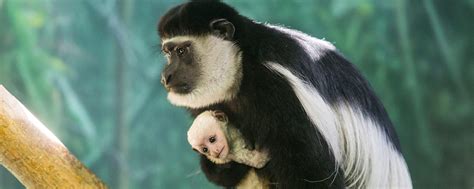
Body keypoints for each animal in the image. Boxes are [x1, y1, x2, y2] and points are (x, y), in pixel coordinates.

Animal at [158, 0, 412, 188]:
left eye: (182, 51)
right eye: (168, 53)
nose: (166, 77)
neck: (243, 66)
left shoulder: (283, 91)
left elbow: (314, 170)